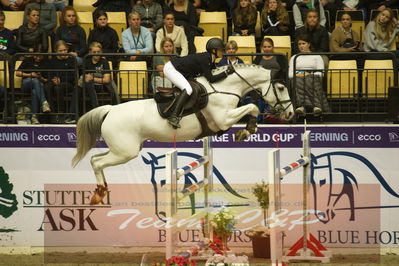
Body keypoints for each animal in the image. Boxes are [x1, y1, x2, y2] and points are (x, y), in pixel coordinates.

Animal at [72, 64, 294, 204]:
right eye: (281, 87)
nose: (292, 113)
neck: (223, 88)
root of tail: (109, 110)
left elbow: (251, 109)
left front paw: (247, 130)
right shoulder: (223, 118)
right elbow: (252, 107)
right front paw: (247, 130)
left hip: (123, 149)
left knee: (94, 160)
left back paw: (100, 193)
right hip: (125, 152)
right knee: (98, 162)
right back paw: (99, 193)